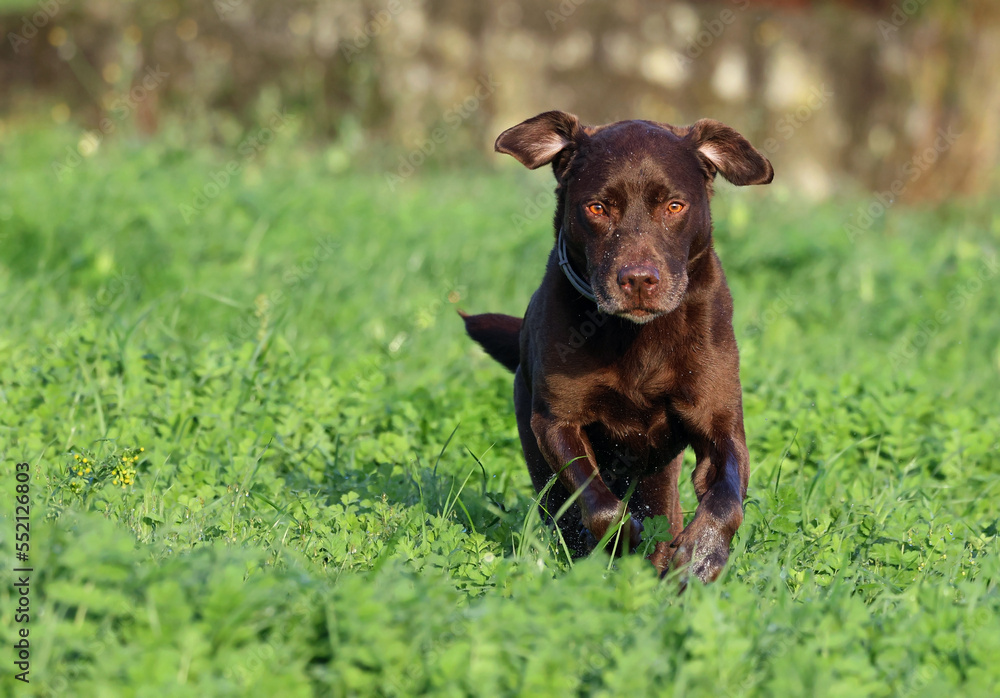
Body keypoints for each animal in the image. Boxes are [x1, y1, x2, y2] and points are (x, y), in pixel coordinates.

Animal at [460, 110, 772, 580]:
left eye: (674, 206)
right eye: (598, 208)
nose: (639, 280)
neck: (634, 336)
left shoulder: (720, 425)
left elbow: (726, 501)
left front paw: (701, 557)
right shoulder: (557, 424)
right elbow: (599, 506)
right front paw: (623, 541)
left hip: (657, 476)